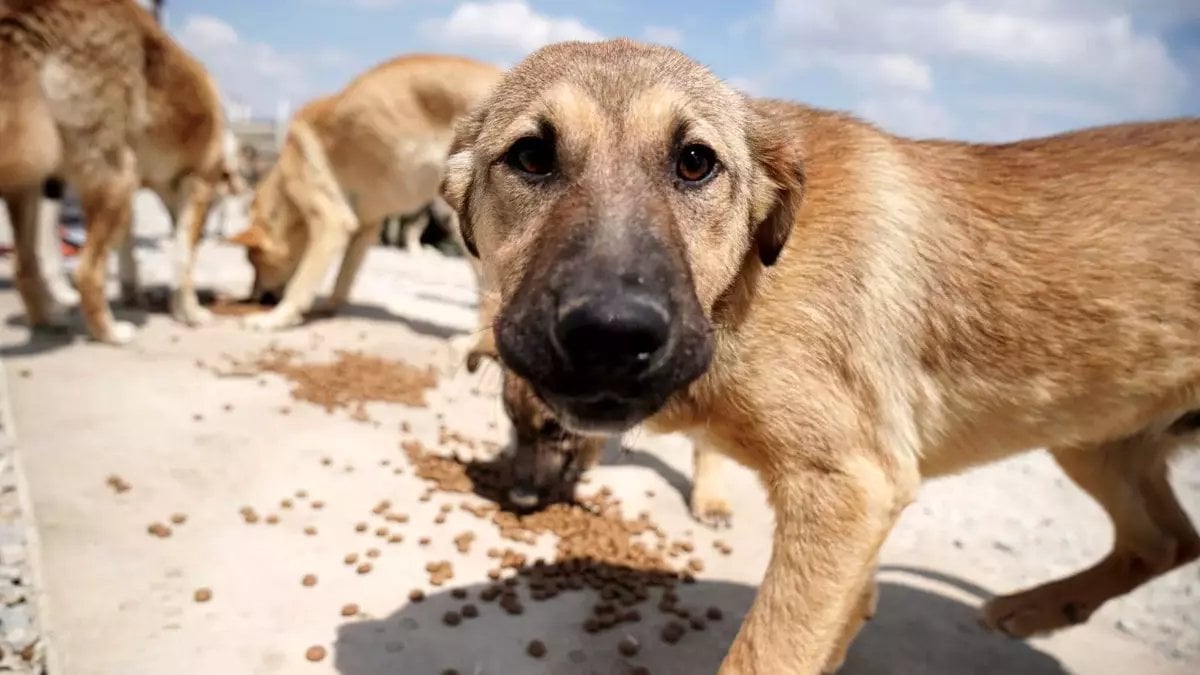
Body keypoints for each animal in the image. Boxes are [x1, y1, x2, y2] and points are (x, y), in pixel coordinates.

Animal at [0, 0, 241, 341]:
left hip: (34, 181)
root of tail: (29, 10)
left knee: (24, 266)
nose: (209, 232)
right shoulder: (196, 185)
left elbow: (131, 251)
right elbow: (183, 258)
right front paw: (190, 312)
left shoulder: (139, 193)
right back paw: (109, 333)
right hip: (116, 177)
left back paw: (47, 320)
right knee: (87, 271)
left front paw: (135, 294)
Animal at [229, 53, 501, 329]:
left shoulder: (331, 223)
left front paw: (277, 317)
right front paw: (328, 309)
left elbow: (301, 283)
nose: (255, 298)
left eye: (255, 262)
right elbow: (343, 277)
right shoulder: (365, 227)